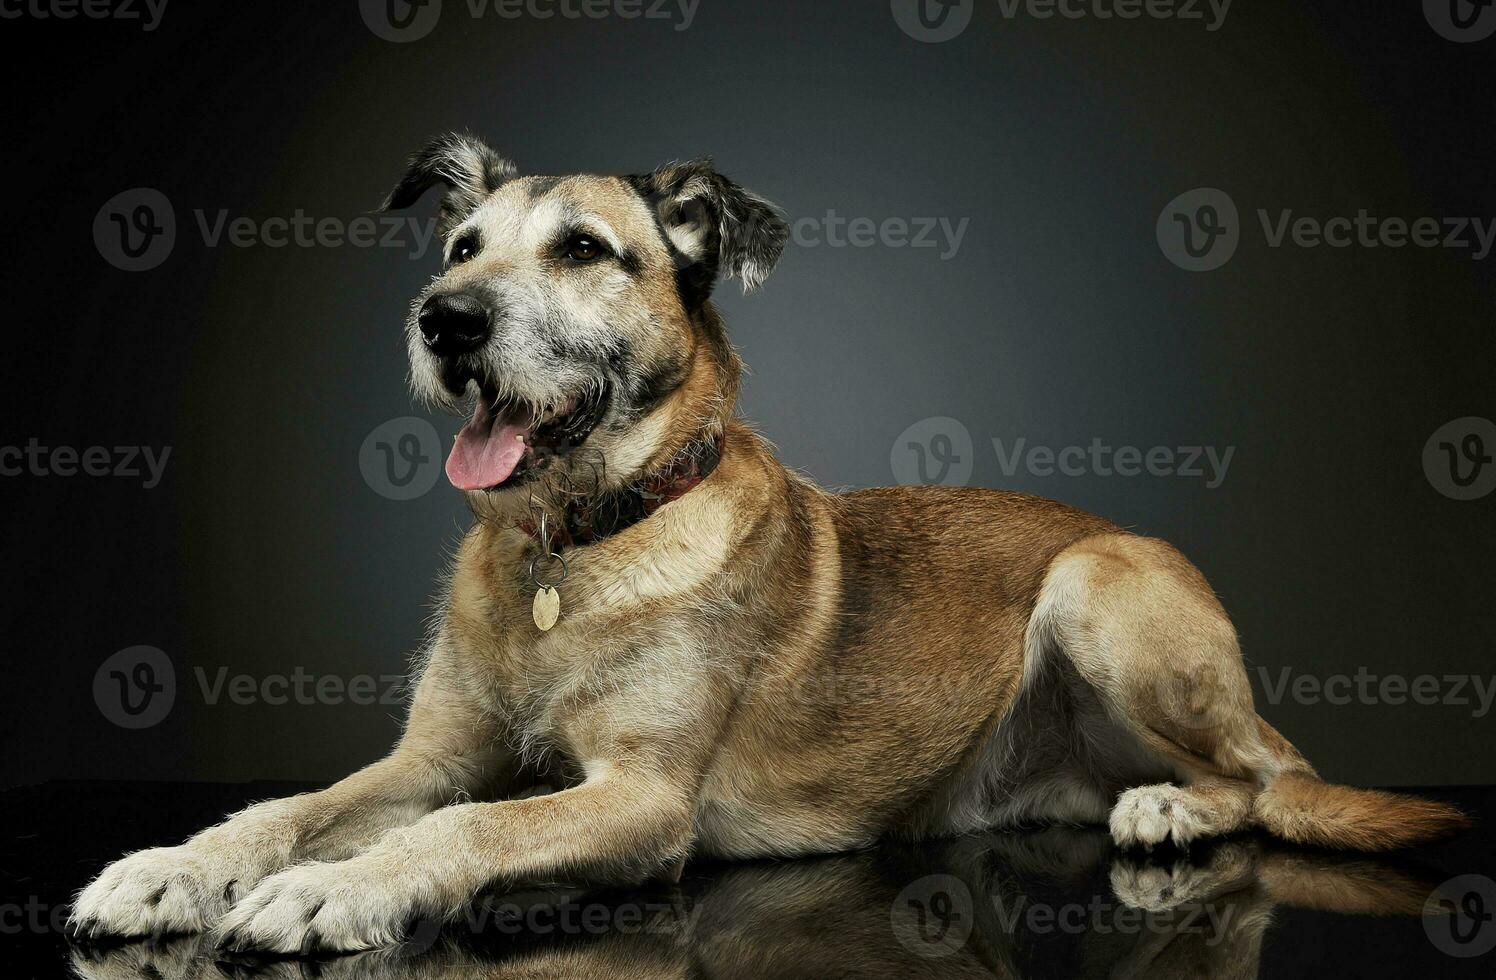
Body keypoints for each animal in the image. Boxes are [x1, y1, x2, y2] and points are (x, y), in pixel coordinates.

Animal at [72, 133, 1472, 957]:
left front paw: (339, 889)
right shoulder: (430, 756)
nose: (444, 319)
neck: (569, 548)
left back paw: (1173, 804)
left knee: (1265, 775)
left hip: (1096, 591)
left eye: (582, 250)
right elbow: (291, 805)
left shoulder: (638, 800)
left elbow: (460, 831)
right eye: (460, 246)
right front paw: (174, 867)